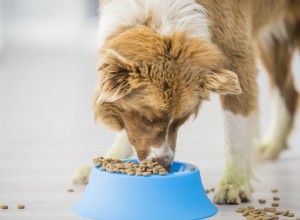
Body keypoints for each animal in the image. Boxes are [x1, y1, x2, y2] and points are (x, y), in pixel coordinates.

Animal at [73, 0, 300, 205]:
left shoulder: (238, 54)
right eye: (146, 118)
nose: (165, 166)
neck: (159, 13)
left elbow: (236, 125)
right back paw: (273, 143)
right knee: (289, 91)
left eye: (181, 120)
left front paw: (233, 183)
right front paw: (108, 160)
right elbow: (129, 131)